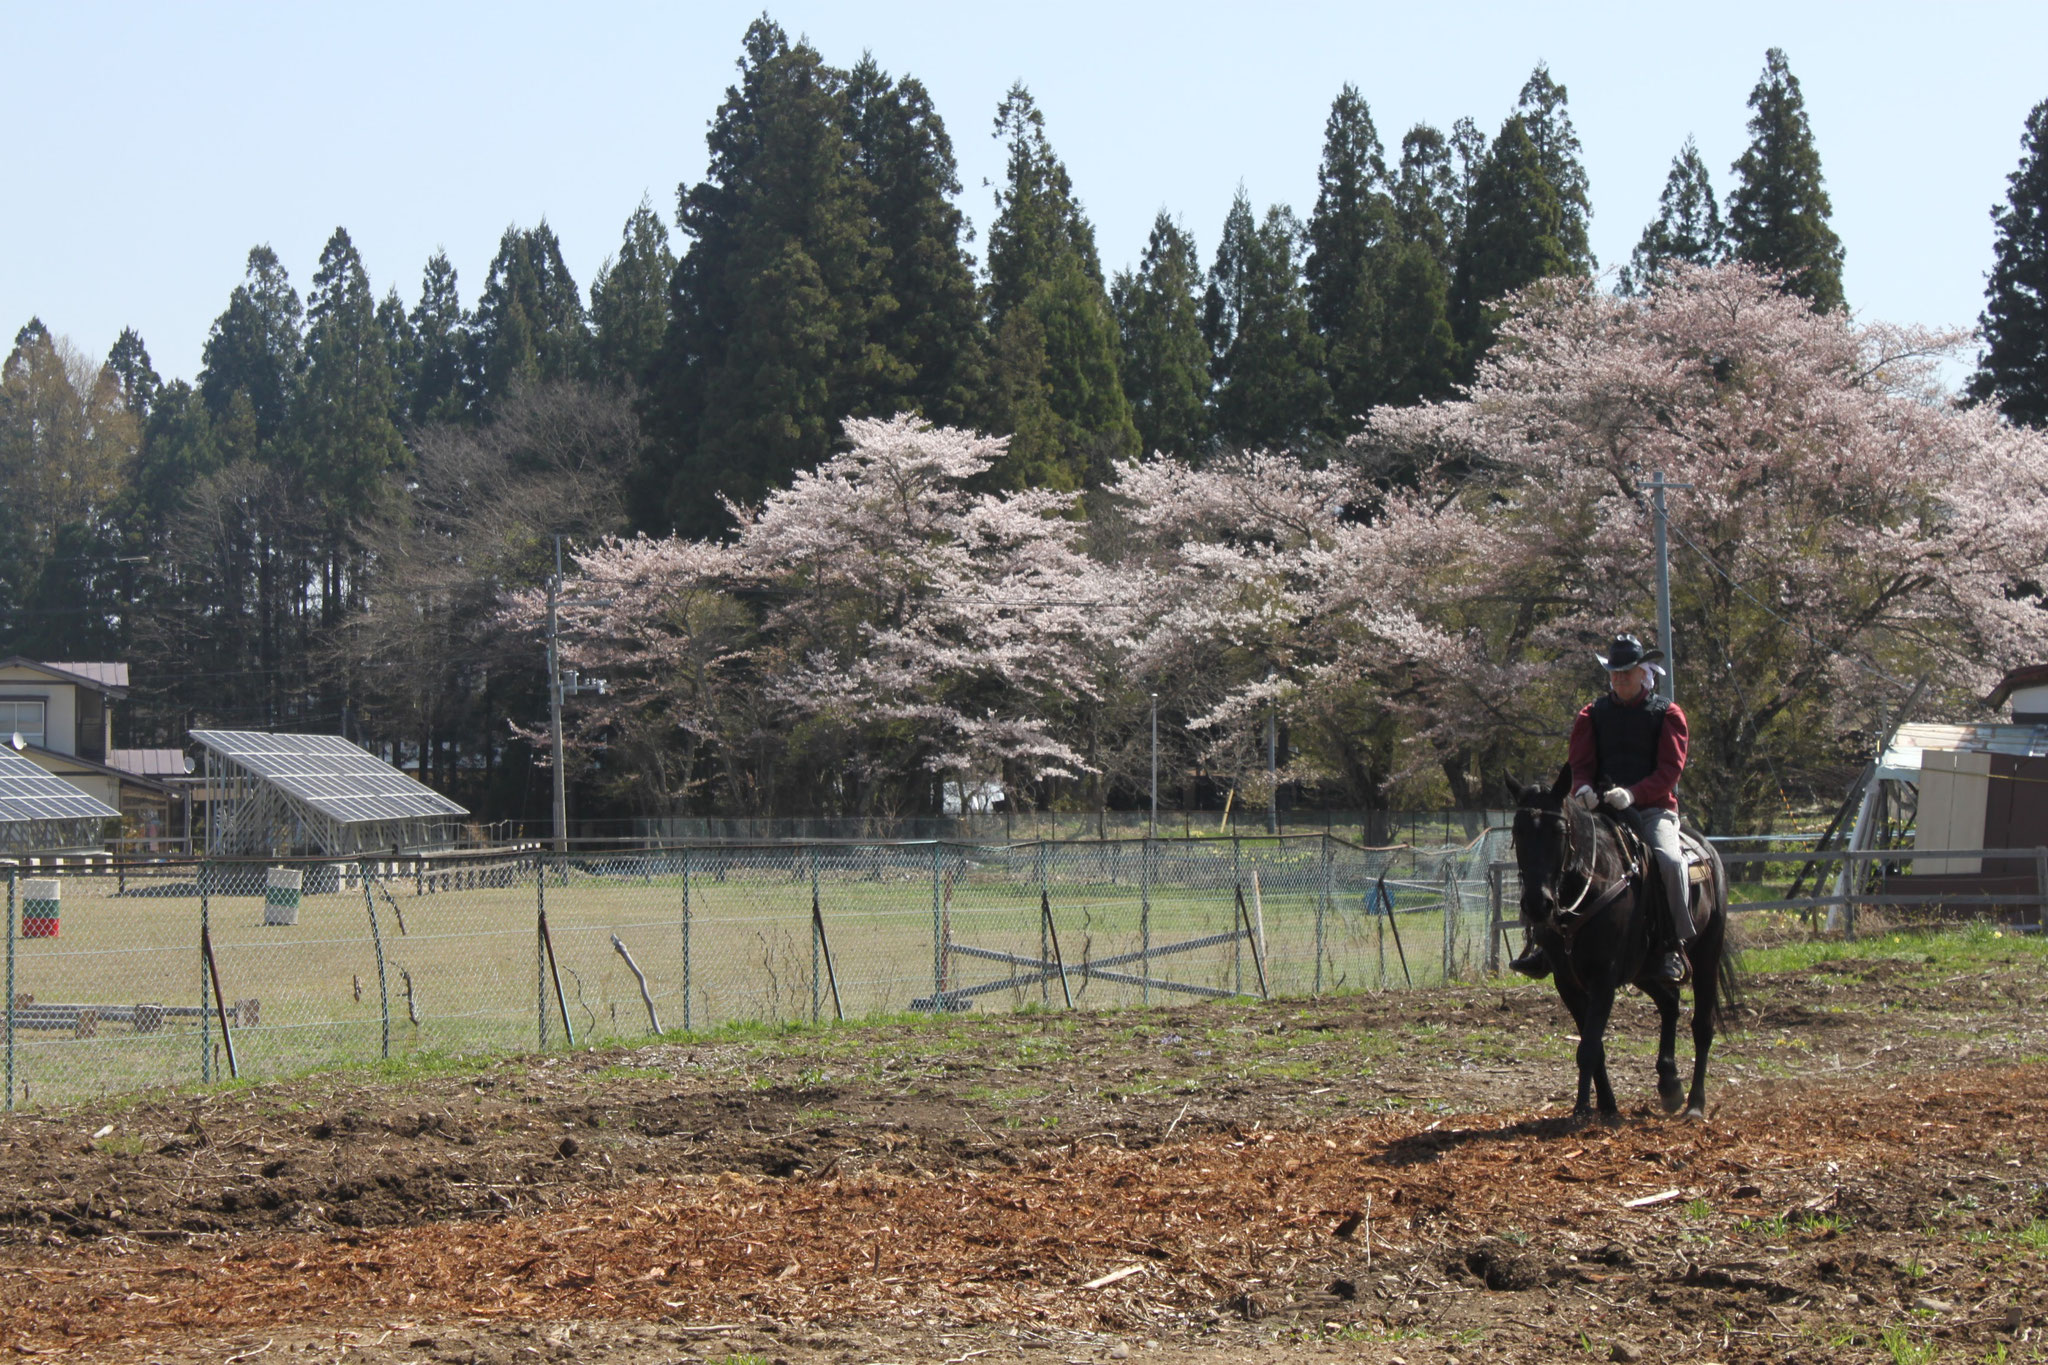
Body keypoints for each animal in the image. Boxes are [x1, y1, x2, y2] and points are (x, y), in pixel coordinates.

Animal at [1515, 769, 1736, 1121]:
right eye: (1517, 831)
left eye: (1558, 831)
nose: (1538, 904)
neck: (1591, 884)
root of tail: (1706, 850)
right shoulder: (1567, 982)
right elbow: (1595, 1047)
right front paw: (1606, 1106)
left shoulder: (1603, 978)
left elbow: (1588, 1048)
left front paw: (1582, 1110)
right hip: (1643, 969)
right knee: (1670, 1002)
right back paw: (1669, 1084)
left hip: (1706, 956)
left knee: (1702, 1026)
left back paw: (1695, 1105)